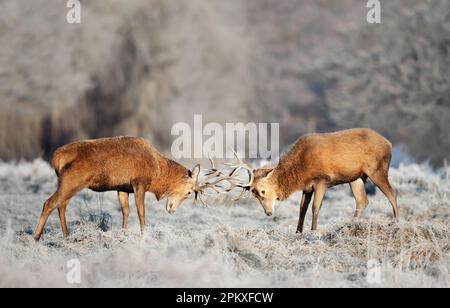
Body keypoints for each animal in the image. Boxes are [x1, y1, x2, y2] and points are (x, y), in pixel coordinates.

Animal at [34, 137, 212, 241]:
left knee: (61, 205)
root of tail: (57, 158)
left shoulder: (122, 188)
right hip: (73, 181)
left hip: (65, 182)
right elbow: (141, 212)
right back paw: (36, 237)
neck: (158, 172)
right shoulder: (139, 182)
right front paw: (144, 235)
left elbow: (125, 211)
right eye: (189, 192)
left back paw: (66, 235)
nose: (172, 209)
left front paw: (124, 233)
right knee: (49, 203)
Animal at [221, 128, 400, 233]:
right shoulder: (307, 188)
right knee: (362, 200)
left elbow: (315, 207)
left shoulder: (322, 180)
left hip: (377, 169)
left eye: (263, 191)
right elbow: (302, 209)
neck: (301, 171)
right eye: (254, 195)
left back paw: (396, 223)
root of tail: (389, 144)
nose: (268, 212)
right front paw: (298, 232)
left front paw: (313, 231)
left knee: (392, 193)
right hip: (356, 178)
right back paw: (350, 225)